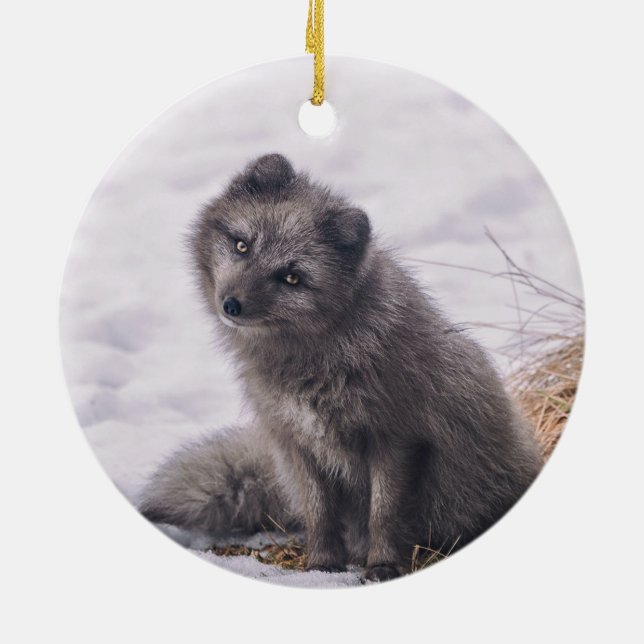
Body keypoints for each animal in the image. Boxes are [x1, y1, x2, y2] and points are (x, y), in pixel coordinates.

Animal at [140, 153, 543, 582]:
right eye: (242, 245)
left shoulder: (394, 439)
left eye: (292, 277)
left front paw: (382, 565)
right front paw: (321, 567)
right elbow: (319, 514)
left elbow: (384, 512)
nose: (231, 305)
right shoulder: (298, 443)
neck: (314, 364)